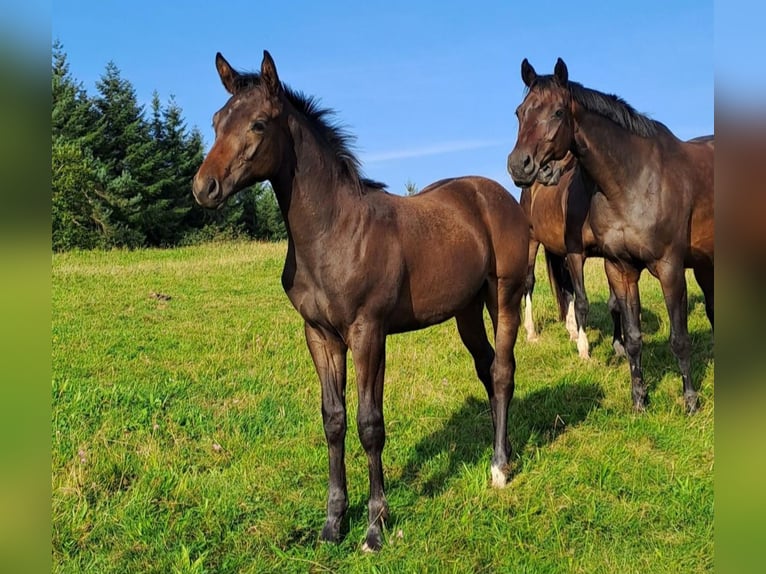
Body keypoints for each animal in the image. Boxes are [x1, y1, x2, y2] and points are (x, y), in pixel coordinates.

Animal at [190, 53, 536, 552]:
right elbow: (333, 420)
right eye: (217, 121)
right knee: (487, 368)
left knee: (504, 371)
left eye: (257, 123)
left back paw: (500, 469)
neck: (333, 232)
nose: (205, 187)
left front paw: (375, 526)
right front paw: (333, 522)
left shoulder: (368, 332)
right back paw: (501, 452)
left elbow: (370, 423)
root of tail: (497, 195)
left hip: (503, 295)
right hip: (466, 311)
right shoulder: (320, 336)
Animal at [520, 153, 628, 360]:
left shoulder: (609, 256)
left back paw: (572, 329)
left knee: (567, 285)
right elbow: (582, 302)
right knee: (529, 282)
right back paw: (531, 332)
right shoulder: (576, 255)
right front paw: (584, 350)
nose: (544, 171)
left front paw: (619, 346)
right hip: (531, 239)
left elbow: (614, 303)